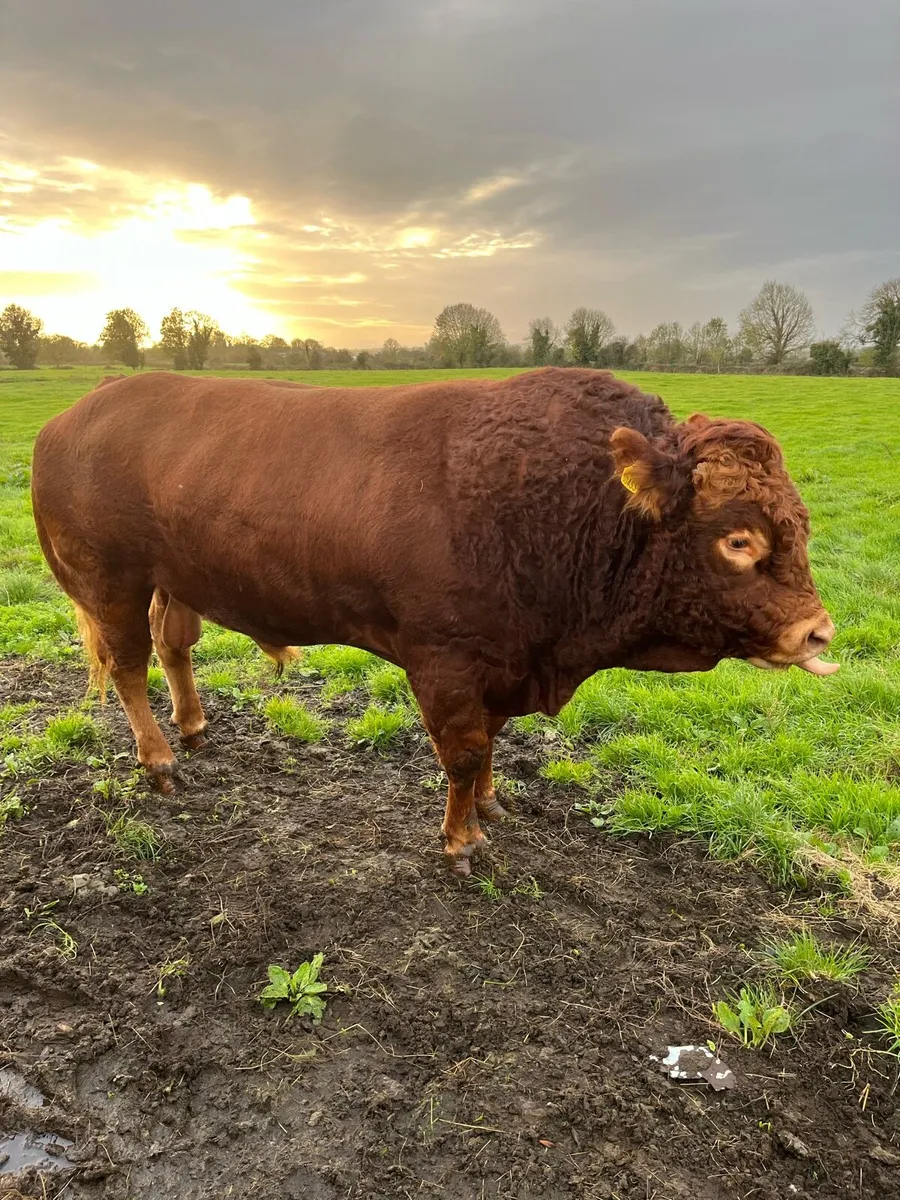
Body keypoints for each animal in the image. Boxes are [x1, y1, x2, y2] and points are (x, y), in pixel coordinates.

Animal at [31, 368, 837, 874]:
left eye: (799, 522)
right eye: (739, 540)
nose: (817, 632)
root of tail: (89, 403)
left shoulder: (505, 663)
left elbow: (492, 746)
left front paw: (491, 808)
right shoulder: (444, 661)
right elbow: (464, 750)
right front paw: (461, 840)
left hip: (175, 581)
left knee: (174, 647)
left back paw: (195, 728)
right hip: (111, 582)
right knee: (128, 663)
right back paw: (160, 759)